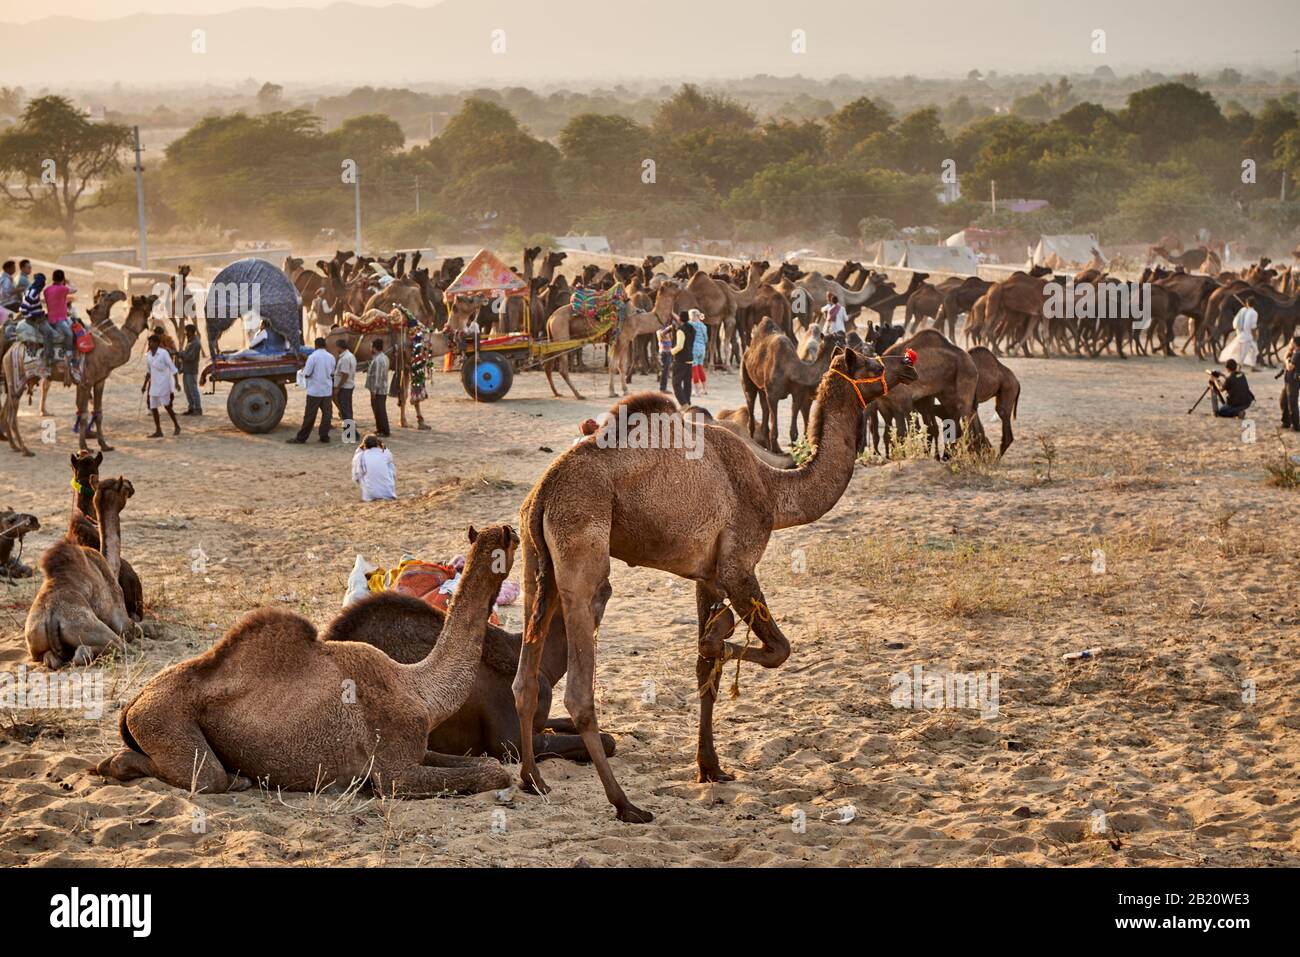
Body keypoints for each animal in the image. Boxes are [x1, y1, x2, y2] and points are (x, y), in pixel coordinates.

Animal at [2, 291, 149, 457]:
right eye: (103, 299)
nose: (123, 295)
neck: (107, 350)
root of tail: (9, 352)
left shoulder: (99, 381)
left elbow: (97, 413)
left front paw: (104, 445)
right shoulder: (85, 382)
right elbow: (84, 414)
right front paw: (84, 448)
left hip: (12, 383)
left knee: (7, 411)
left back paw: (14, 446)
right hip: (17, 381)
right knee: (12, 417)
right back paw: (26, 450)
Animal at [25, 477, 140, 669]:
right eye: (124, 487)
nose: (132, 487)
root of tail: (51, 619)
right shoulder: (121, 619)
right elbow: (134, 628)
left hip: (35, 643)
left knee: (51, 658)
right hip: (94, 629)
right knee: (107, 648)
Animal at [96, 525, 518, 797]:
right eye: (510, 540)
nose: (512, 530)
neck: (418, 687)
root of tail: (134, 702)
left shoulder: (417, 747)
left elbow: (490, 765)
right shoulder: (395, 767)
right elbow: (491, 773)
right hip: (163, 718)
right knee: (205, 777)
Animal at [512, 353, 919, 822]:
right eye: (871, 360)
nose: (908, 365)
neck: (774, 493)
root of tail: (543, 492)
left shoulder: (706, 577)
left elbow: (706, 670)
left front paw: (710, 767)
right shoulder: (737, 567)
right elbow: (778, 650)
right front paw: (716, 638)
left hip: (534, 560)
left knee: (525, 678)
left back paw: (533, 780)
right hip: (582, 545)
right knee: (580, 685)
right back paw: (625, 803)